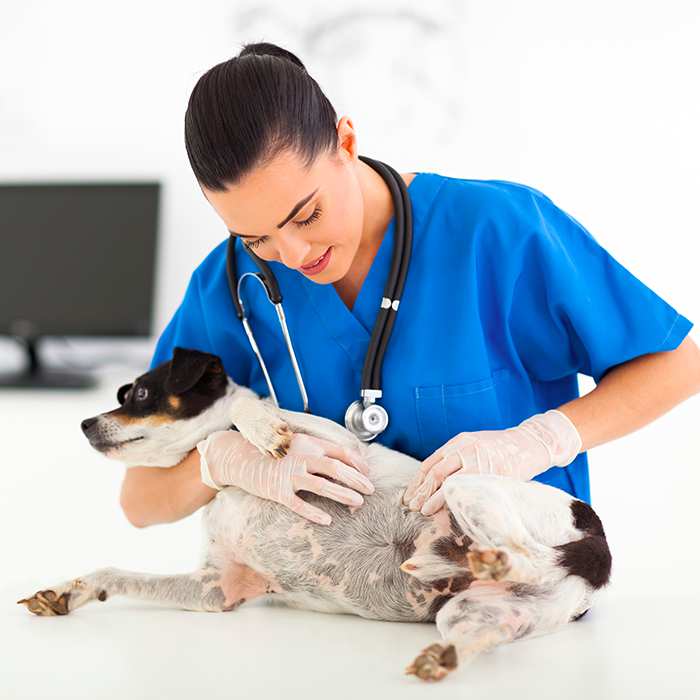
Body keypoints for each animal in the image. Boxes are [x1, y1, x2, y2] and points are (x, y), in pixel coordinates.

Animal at [17, 348, 612, 680]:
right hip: (477, 614)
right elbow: (111, 572)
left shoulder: (340, 446)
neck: (233, 488)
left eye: (138, 392)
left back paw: (471, 557)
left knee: (520, 551)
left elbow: (244, 409)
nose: (84, 423)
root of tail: (597, 554)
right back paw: (441, 652)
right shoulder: (217, 590)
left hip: (465, 486)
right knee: (483, 628)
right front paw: (65, 591)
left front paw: (261, 434)